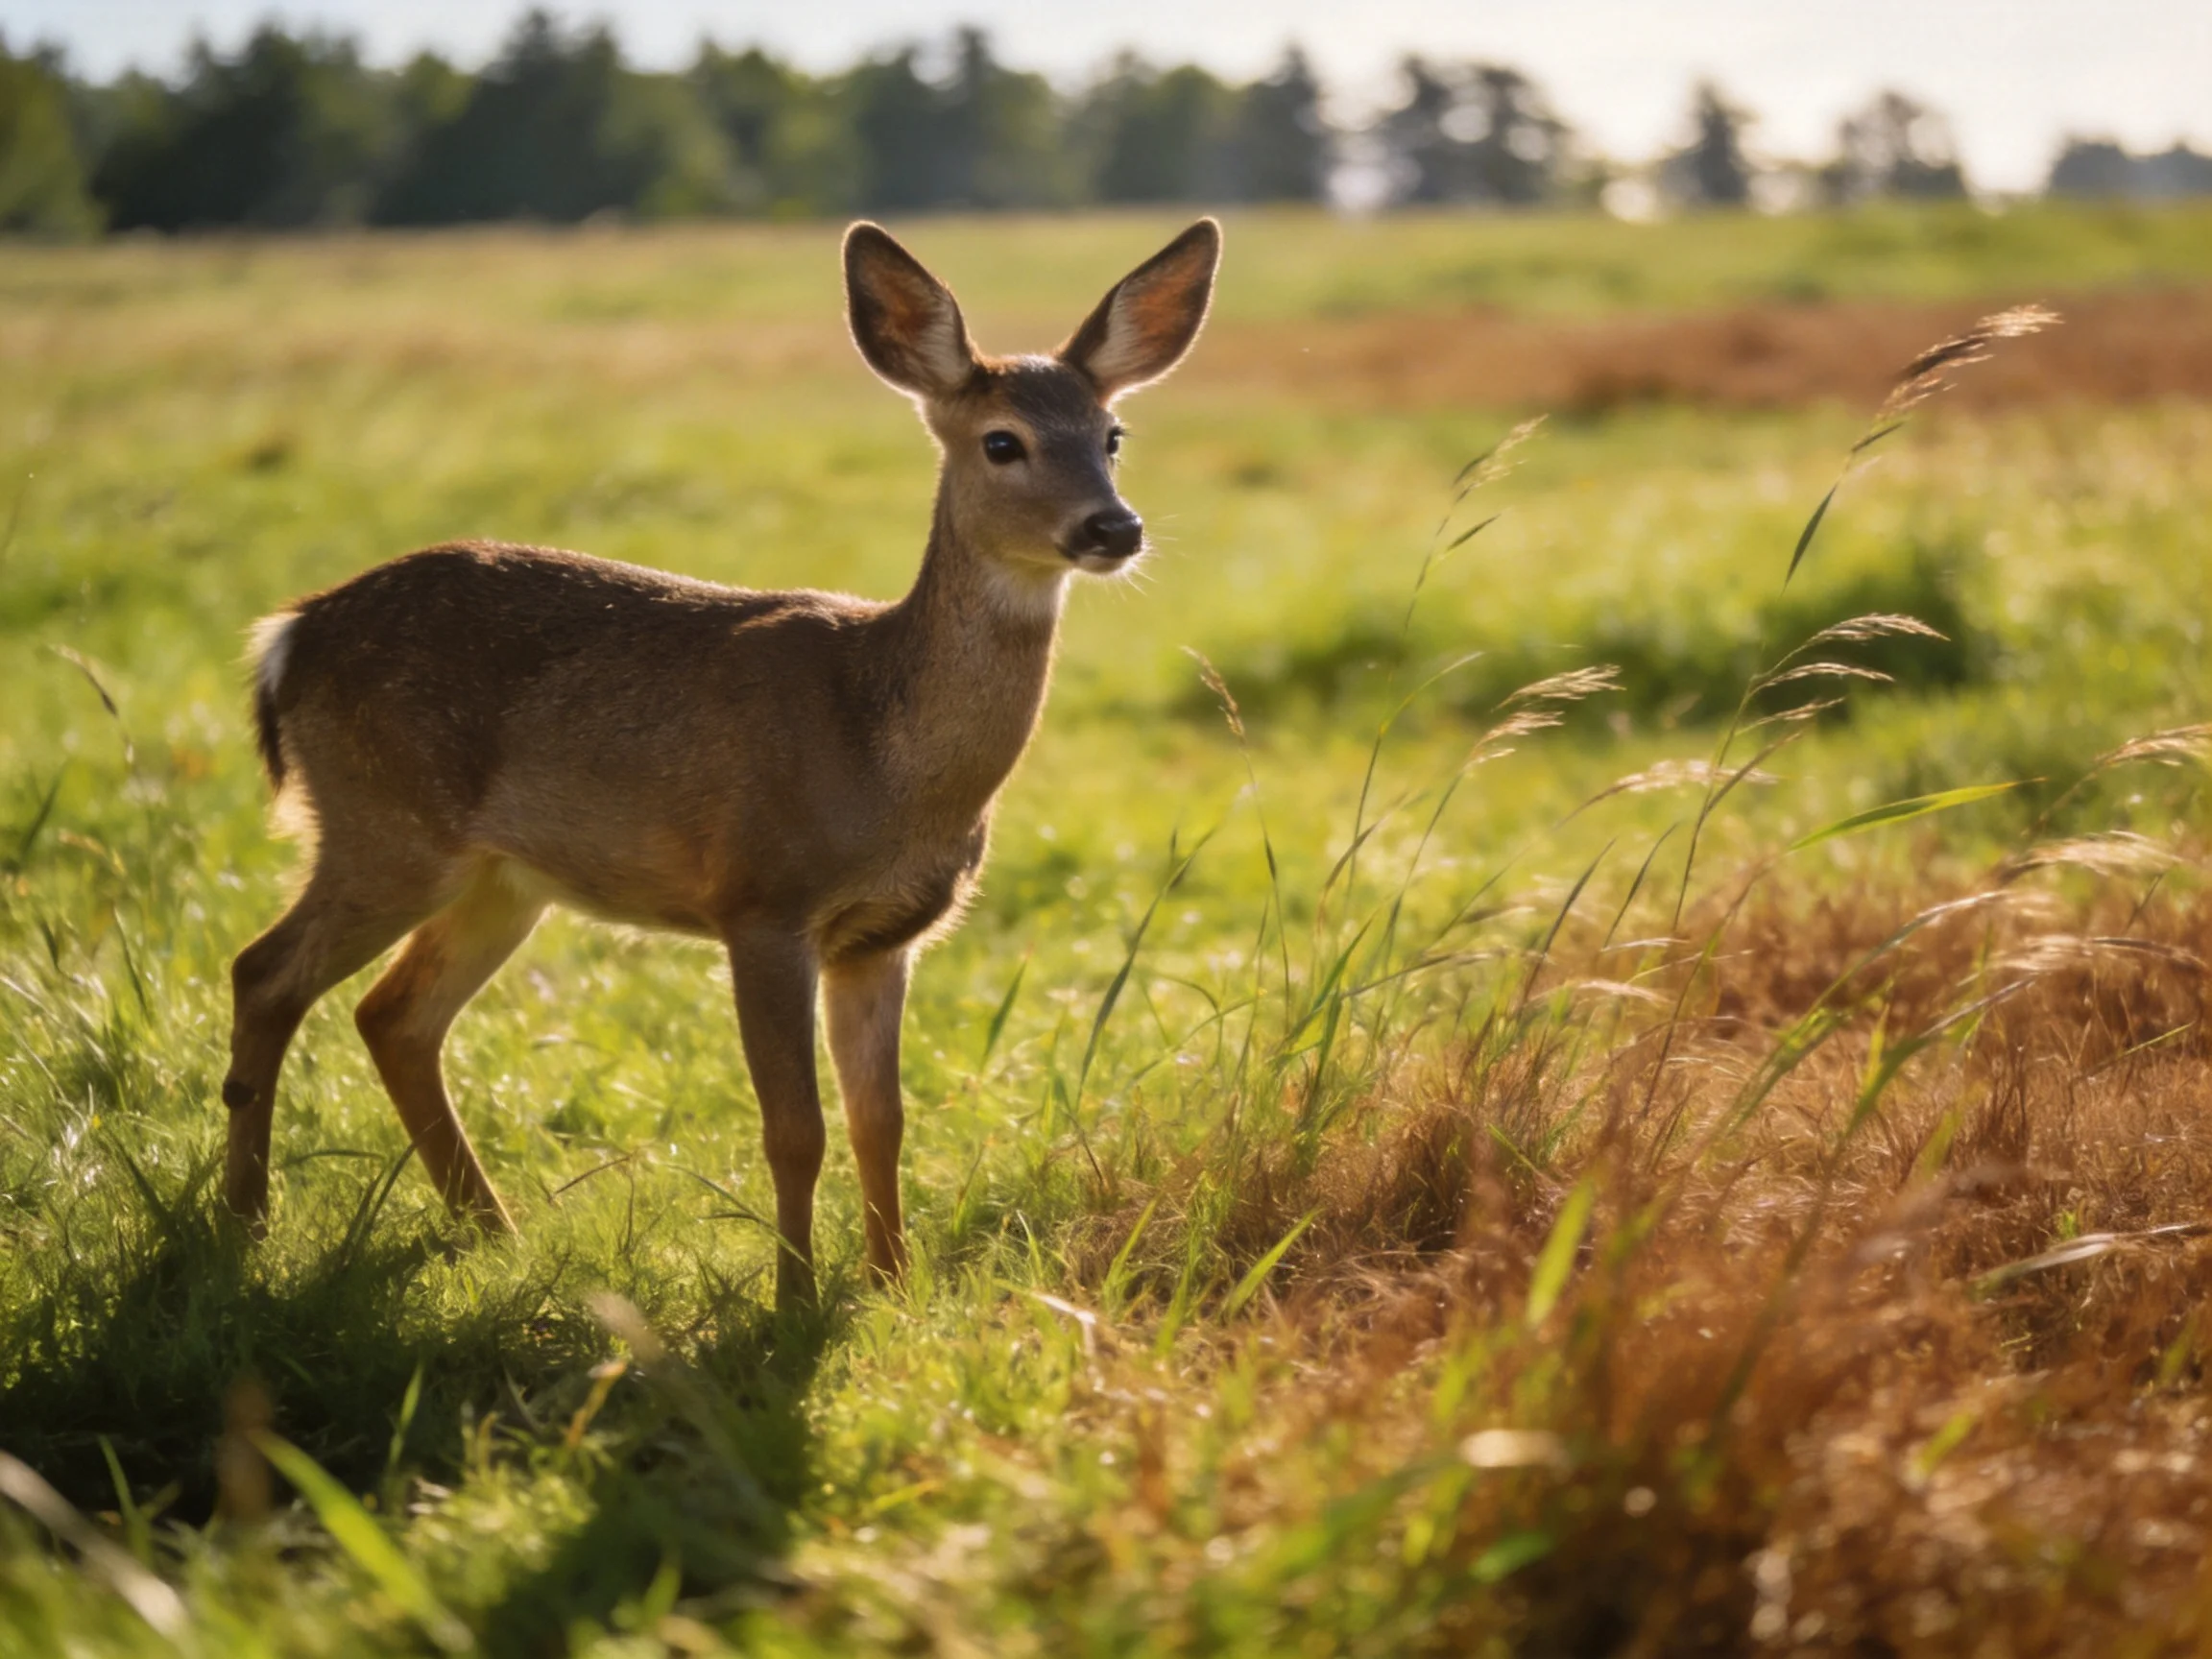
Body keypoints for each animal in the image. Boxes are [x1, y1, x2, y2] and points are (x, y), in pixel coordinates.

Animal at [219, 218, 1222, 1309]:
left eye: (1112, 436)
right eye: (1004, 441)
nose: (1113, 526)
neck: (884, 758)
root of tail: (288, 636)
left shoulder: (884, 936)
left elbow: (882, 1121)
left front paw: (891, 1283)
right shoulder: (761, 899)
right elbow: (795, 1129)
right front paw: (792, 1304)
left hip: (500, 878)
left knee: (392, 1015)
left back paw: (493, 1230)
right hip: (386, 823)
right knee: (263, 971)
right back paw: (244, 1223)